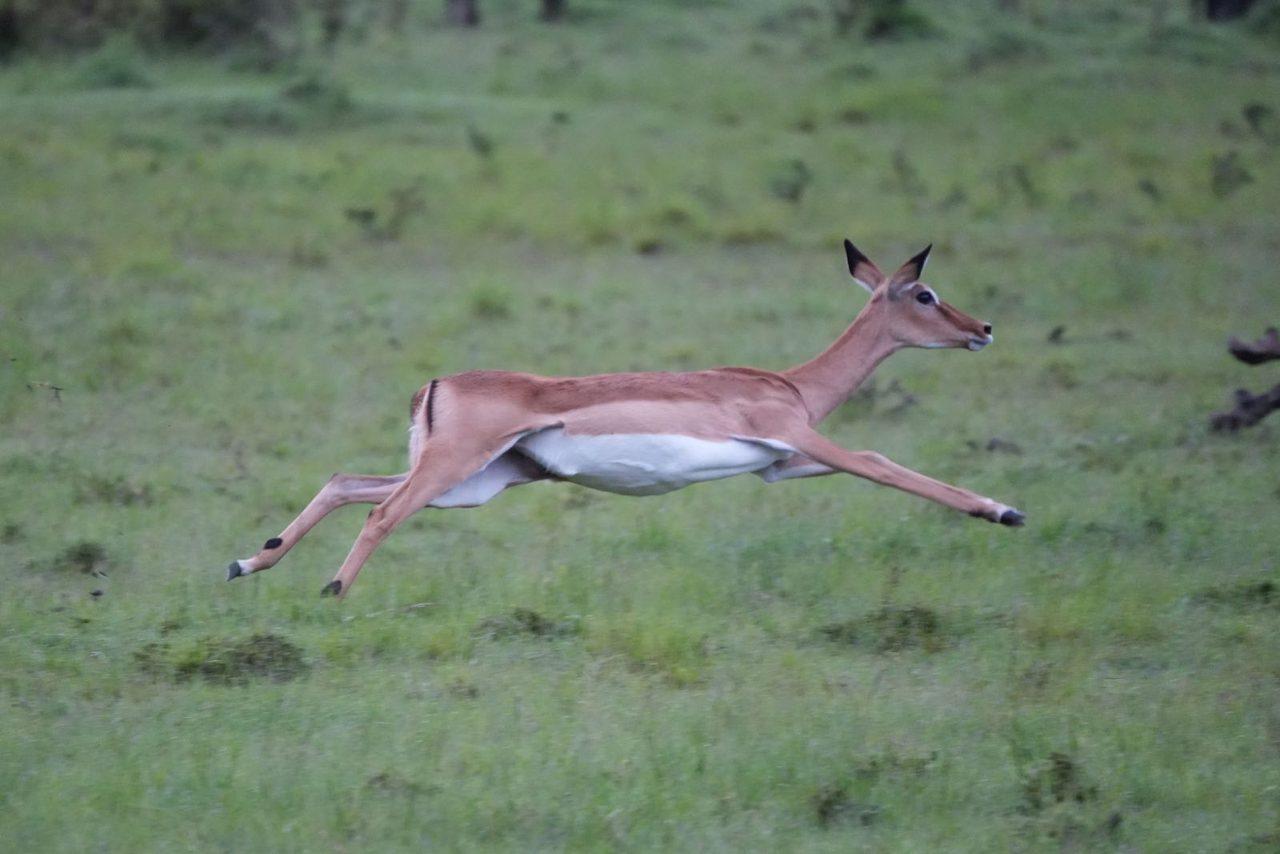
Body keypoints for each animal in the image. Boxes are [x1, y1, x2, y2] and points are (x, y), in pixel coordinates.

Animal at [228, 241, 1025, 599]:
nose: (984, 328)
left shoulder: (782, 462)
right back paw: (333, 589)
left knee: (345, 482)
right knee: (381, 511)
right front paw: (1005, 510)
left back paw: (248, 562)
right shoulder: (800, 436)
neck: (794, 385)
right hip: (454, 470)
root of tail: (436, 383)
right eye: (925, 293)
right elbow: (883, 464)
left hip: (476, 482)